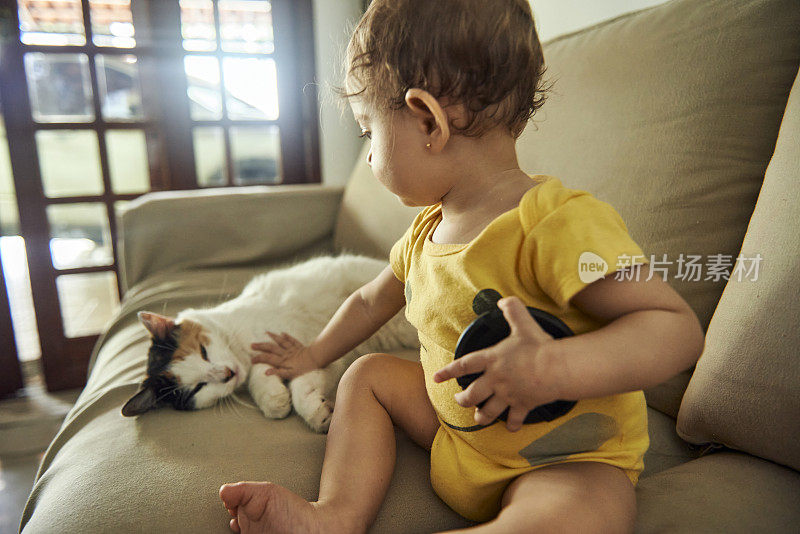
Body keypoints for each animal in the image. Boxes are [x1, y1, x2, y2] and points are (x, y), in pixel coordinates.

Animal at [122, 253, 418, 434]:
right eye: (197, 388)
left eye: (204, 352)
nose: (226, 373)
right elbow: (272, 381)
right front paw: (277, 400)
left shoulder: (311, 344)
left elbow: (298, 382)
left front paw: (311, 411)